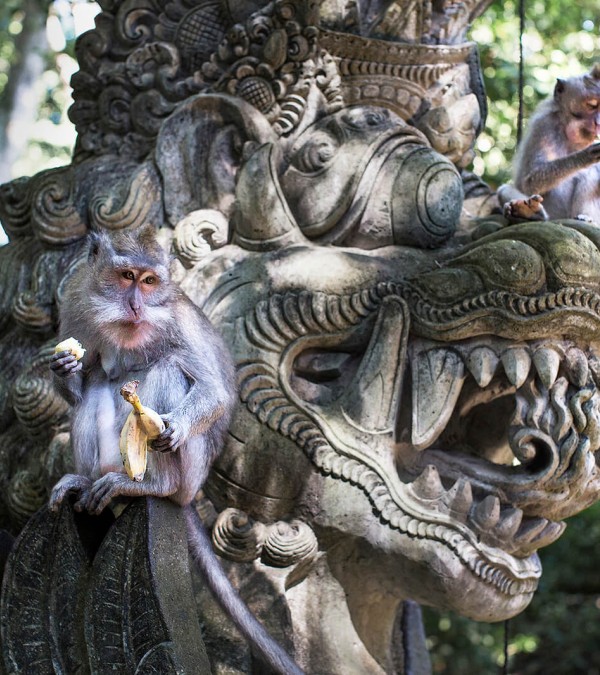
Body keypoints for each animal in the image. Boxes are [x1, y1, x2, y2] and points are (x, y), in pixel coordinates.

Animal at [50, 226, 303, 675]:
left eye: (150, 281)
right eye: (126, 276)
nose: (136, 306)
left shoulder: (177, 320)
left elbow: (214, 390)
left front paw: (178, 425)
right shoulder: (76, 303)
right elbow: (83, 376)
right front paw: (65, 367)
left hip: (192, 469)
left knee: (170, 367)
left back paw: (153, 485)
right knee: (98, 380)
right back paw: (86, 480)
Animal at [498, 63, 600, 224]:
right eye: (592, 105)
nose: (598, 123)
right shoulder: (544, 126)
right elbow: (529, 181)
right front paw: (586, 155)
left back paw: (585, 217)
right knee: (503, 190)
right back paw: (528, 212)